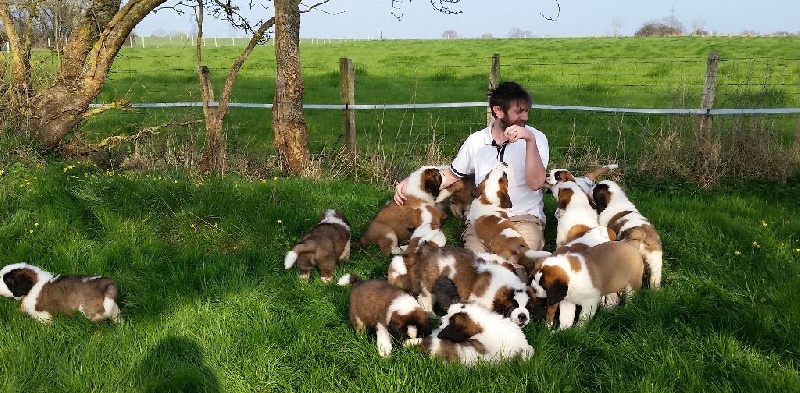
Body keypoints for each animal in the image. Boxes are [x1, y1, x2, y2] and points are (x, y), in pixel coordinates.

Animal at [390, 243, 536, 326]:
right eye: (512, 307)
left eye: (527, 307)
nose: (522, 316)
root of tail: (427, 249)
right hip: (429, 284)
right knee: (425, 299)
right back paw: (431, 314)